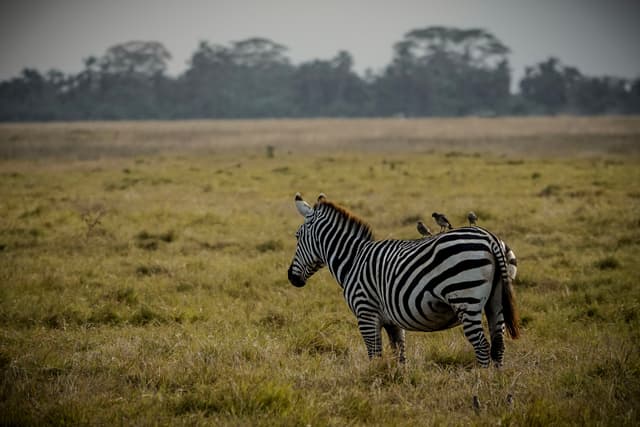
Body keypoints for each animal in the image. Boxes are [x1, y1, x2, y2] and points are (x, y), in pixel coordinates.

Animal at [290, 194, 520, 368]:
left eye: (297, 236)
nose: (291, 278)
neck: (353, 259)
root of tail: (489, 238)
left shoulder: (366, 314)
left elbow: (375, 355)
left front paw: (373, 384)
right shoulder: (392, 321)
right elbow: (399, 356)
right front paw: (394, 381)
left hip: (465, 298)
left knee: (482, 346)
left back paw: (482, 383)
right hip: (496, 302)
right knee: (498, 346)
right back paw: (496, 386)